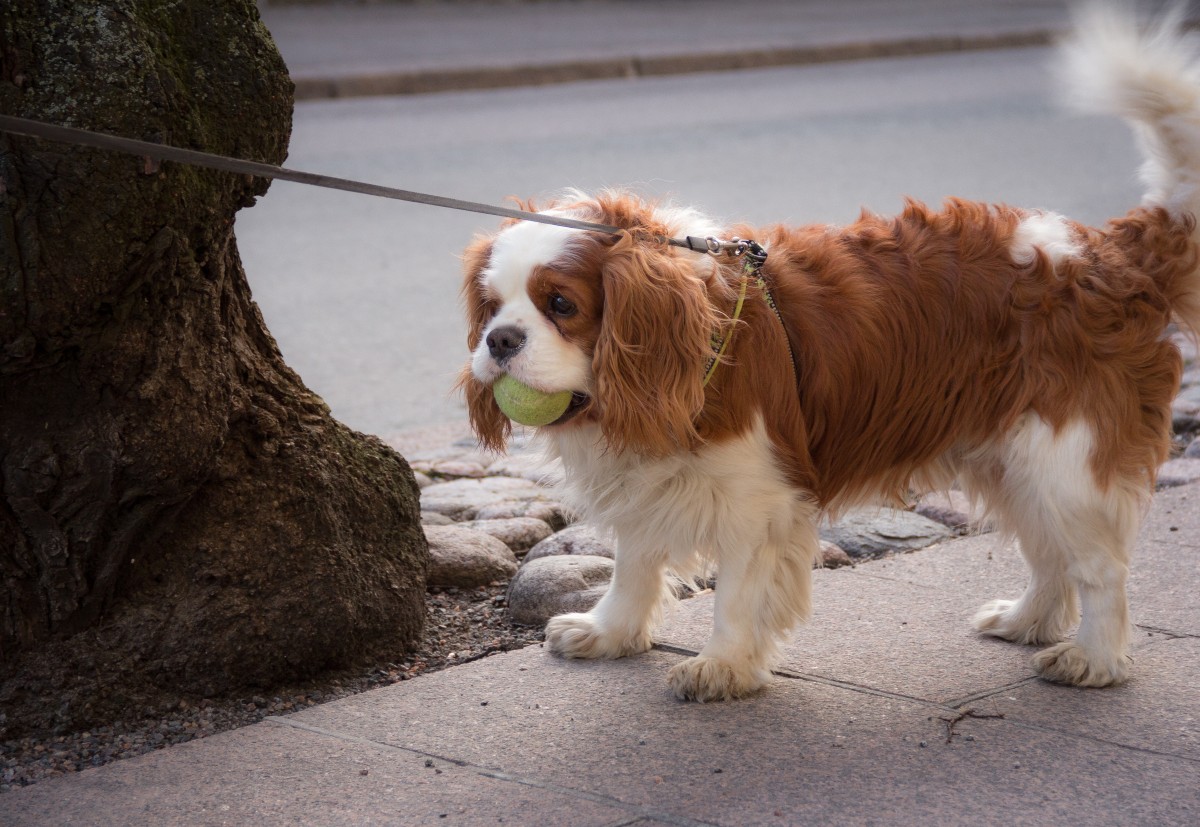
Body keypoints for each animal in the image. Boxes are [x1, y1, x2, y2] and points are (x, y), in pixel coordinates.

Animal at [458, 8, 1200, 700]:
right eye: (490, 307)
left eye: (560, 304)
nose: (500, 342)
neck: (695, 338)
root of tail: (1111, 251)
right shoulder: (649, 482)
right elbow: (634, 563)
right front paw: (609, 631)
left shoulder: (759, 500)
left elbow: (735, 592)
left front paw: (723, 665)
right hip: (1011, 455)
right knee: (1048, 552)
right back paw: (1028, 621)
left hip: (1066, 459)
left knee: (1099, 567)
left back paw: (1095, 658)